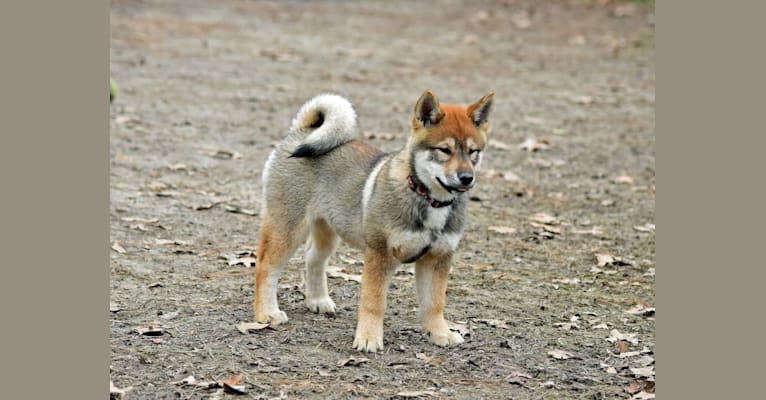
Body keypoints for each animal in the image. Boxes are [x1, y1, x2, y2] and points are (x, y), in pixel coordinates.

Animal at [255, 90, 496, 354]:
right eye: (444, 150)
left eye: (473, 152)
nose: (467, 178)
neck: (430, 201)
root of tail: (302, 131)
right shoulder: (380, 255)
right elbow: (374, 303)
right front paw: (369, 338)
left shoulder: (437, 258)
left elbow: (434, 303)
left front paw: (440, 334)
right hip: (288, 229)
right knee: (266, 267)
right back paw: (266, 314)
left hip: (327, 232)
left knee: (313, 259)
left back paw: (318, 301)